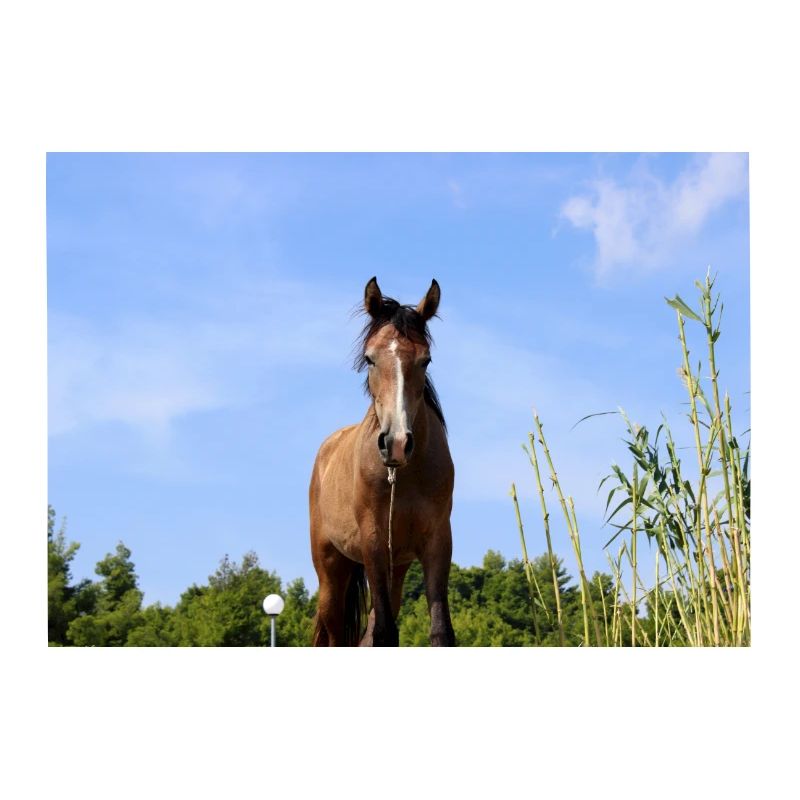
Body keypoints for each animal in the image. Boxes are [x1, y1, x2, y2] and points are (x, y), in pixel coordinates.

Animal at [309, 277, 456, 646]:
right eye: (370, 358)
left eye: (425, 360)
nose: (397, 443)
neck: (405, 476)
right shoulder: (373, 542)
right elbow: (386, 633)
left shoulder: (437, 542)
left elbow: (440, 631)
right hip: (331, 569)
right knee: (336, 634)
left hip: (395, 568)